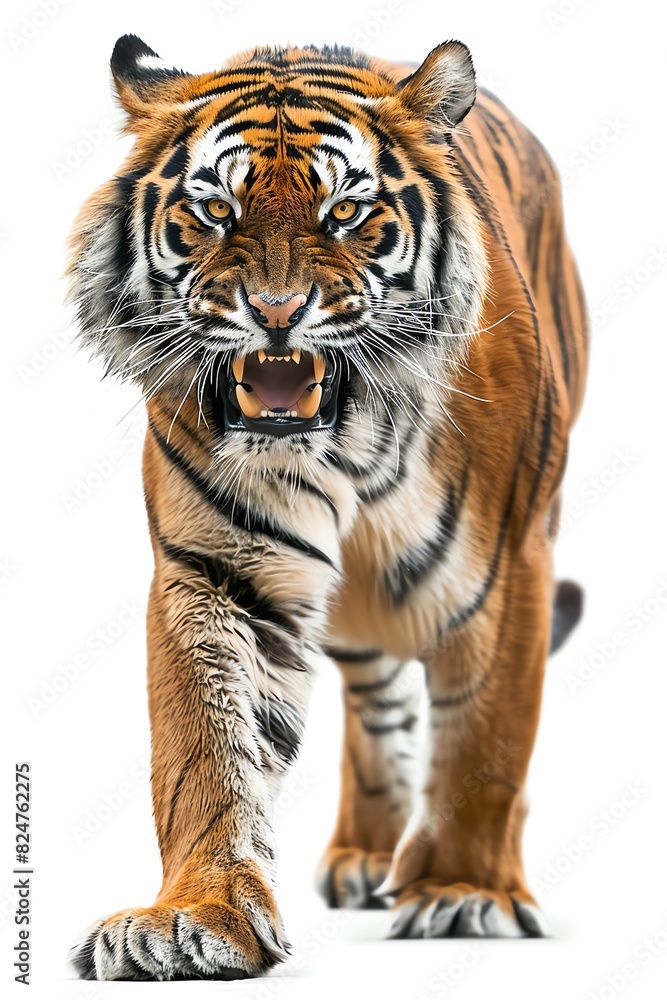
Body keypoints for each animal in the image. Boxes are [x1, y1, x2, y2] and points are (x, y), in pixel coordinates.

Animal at [66, 34, 587, 980]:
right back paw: (367, 855)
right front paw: (188, 916)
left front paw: (463, 892)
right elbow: (204, 751)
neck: (351, 440)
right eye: (215, 209)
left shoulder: (509, 568)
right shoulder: (217, 571)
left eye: (346, 211)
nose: (274, 314)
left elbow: (485, 741)